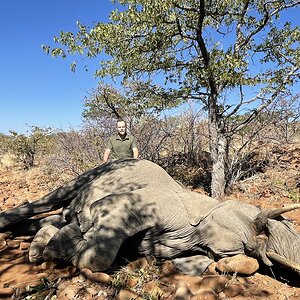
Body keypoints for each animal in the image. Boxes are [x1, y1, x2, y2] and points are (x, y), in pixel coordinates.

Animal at [0, 159, 300, 274]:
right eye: (254, 220)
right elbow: (98, 256)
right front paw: (58, 248)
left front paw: (54, 243)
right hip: (97, 171)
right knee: (50, 201)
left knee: (54, 217)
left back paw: (37, 242)